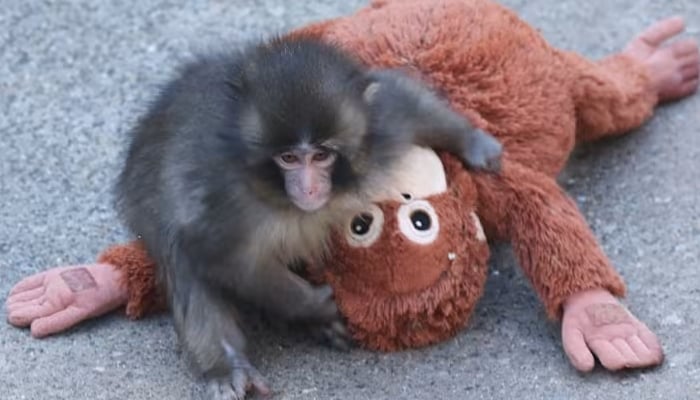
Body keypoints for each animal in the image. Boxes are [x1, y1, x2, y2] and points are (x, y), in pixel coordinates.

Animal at [114, 35, 501, 400]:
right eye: (288, 158)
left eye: (320, 155)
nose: (309, 188)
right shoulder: (223, 199)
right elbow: (223, 257)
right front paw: (315, 305)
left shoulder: (378, 128)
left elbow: (402, 100)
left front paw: (474, 142)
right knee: (180, 256)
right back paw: (226, 364)